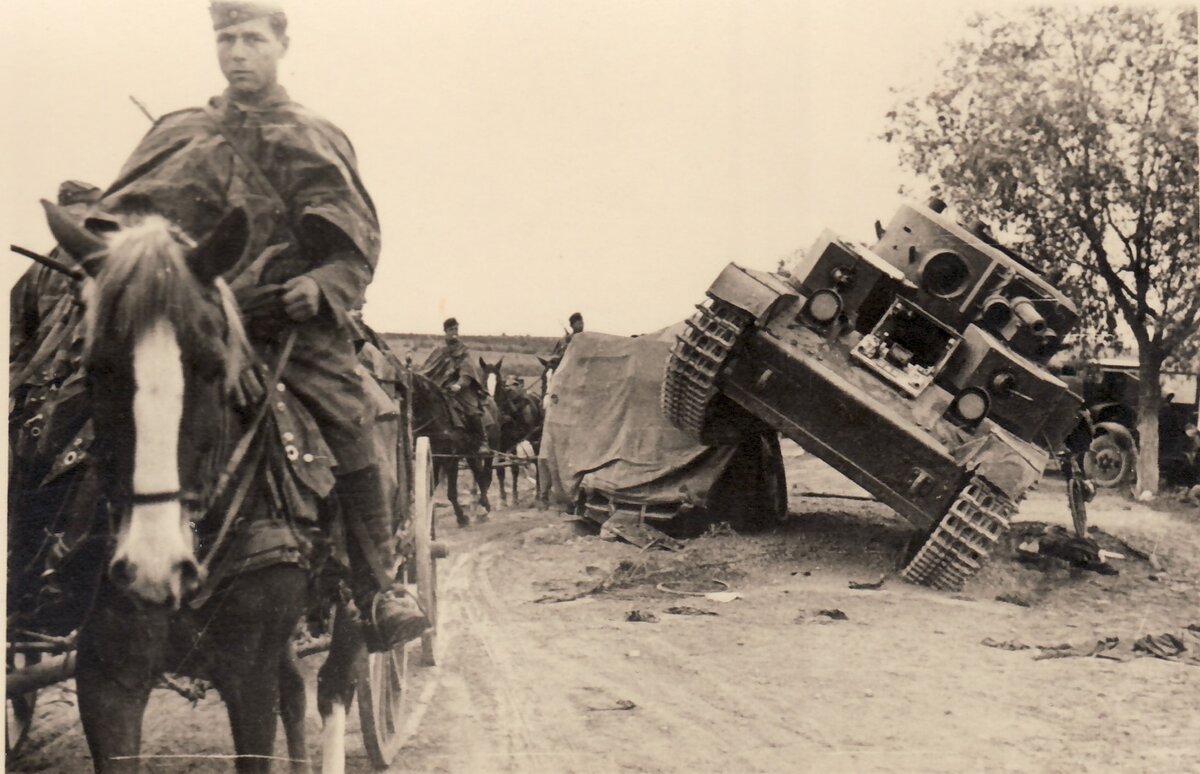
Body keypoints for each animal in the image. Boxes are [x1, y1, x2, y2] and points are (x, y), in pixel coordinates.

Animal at [34, 202, 374, 768]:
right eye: (96, 367)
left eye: (214, 368)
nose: (153, 566)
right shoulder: (108, 676)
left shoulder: (247, 677)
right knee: (295, 690)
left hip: (349, 602)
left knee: (334, 687)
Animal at [405, 367, 494, 525]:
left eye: (412, 393)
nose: (410, 424)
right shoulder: (434, 458)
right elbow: (430, 487)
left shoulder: (451, 459)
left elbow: (451, 492)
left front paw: (461, 518)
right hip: (470, 453)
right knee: (478, 472)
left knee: (483, 473)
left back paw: (484, 506)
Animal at [482, 357, 549, 506]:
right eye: (483, 381)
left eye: (498, 381)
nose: (491, 403)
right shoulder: (500, 444)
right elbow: (500, 469)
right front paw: (502, 499)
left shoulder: (514, 442)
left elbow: (514, 468)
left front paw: (514, 498)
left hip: (536, 440)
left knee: (537, 463)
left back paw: (538, 495)